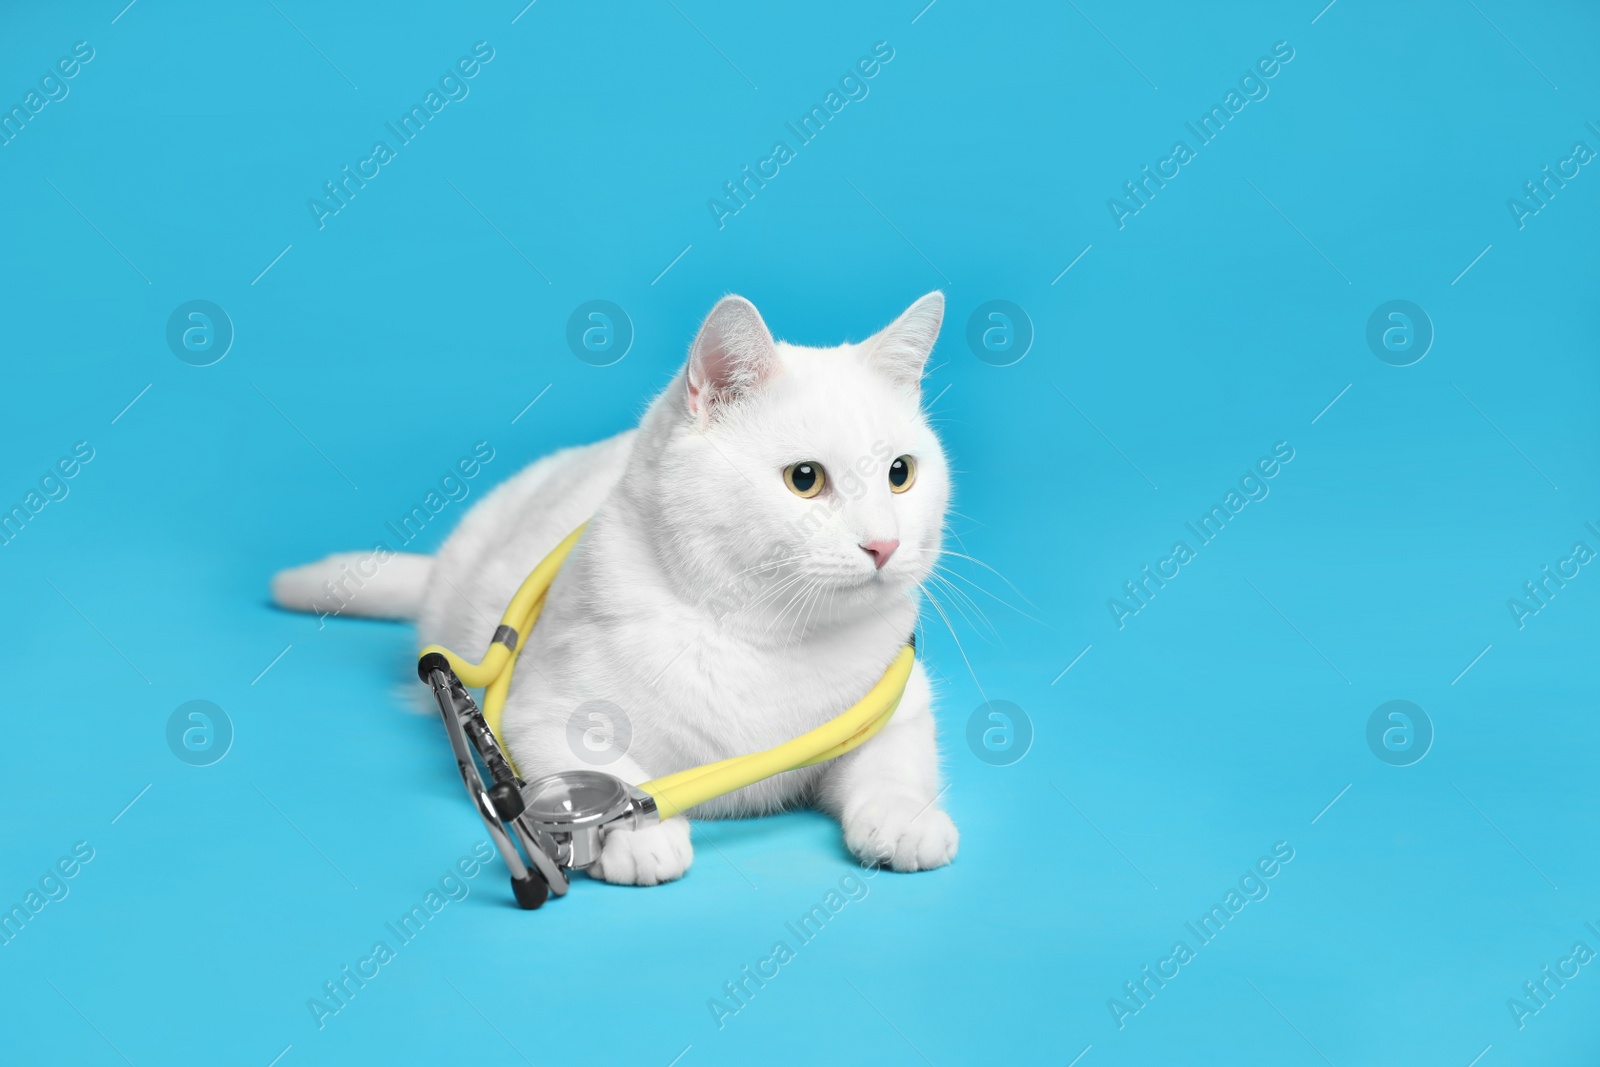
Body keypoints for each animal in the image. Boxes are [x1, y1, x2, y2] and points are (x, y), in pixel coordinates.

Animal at [272, 292, 960, 883]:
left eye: (900, 474)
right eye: (805, 479)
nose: (885, 545)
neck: (765, 638)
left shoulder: (904, 705)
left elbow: (894, 764)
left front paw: (905, 818)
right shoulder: (539, 714)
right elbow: (609, 768)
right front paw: (637, 833)